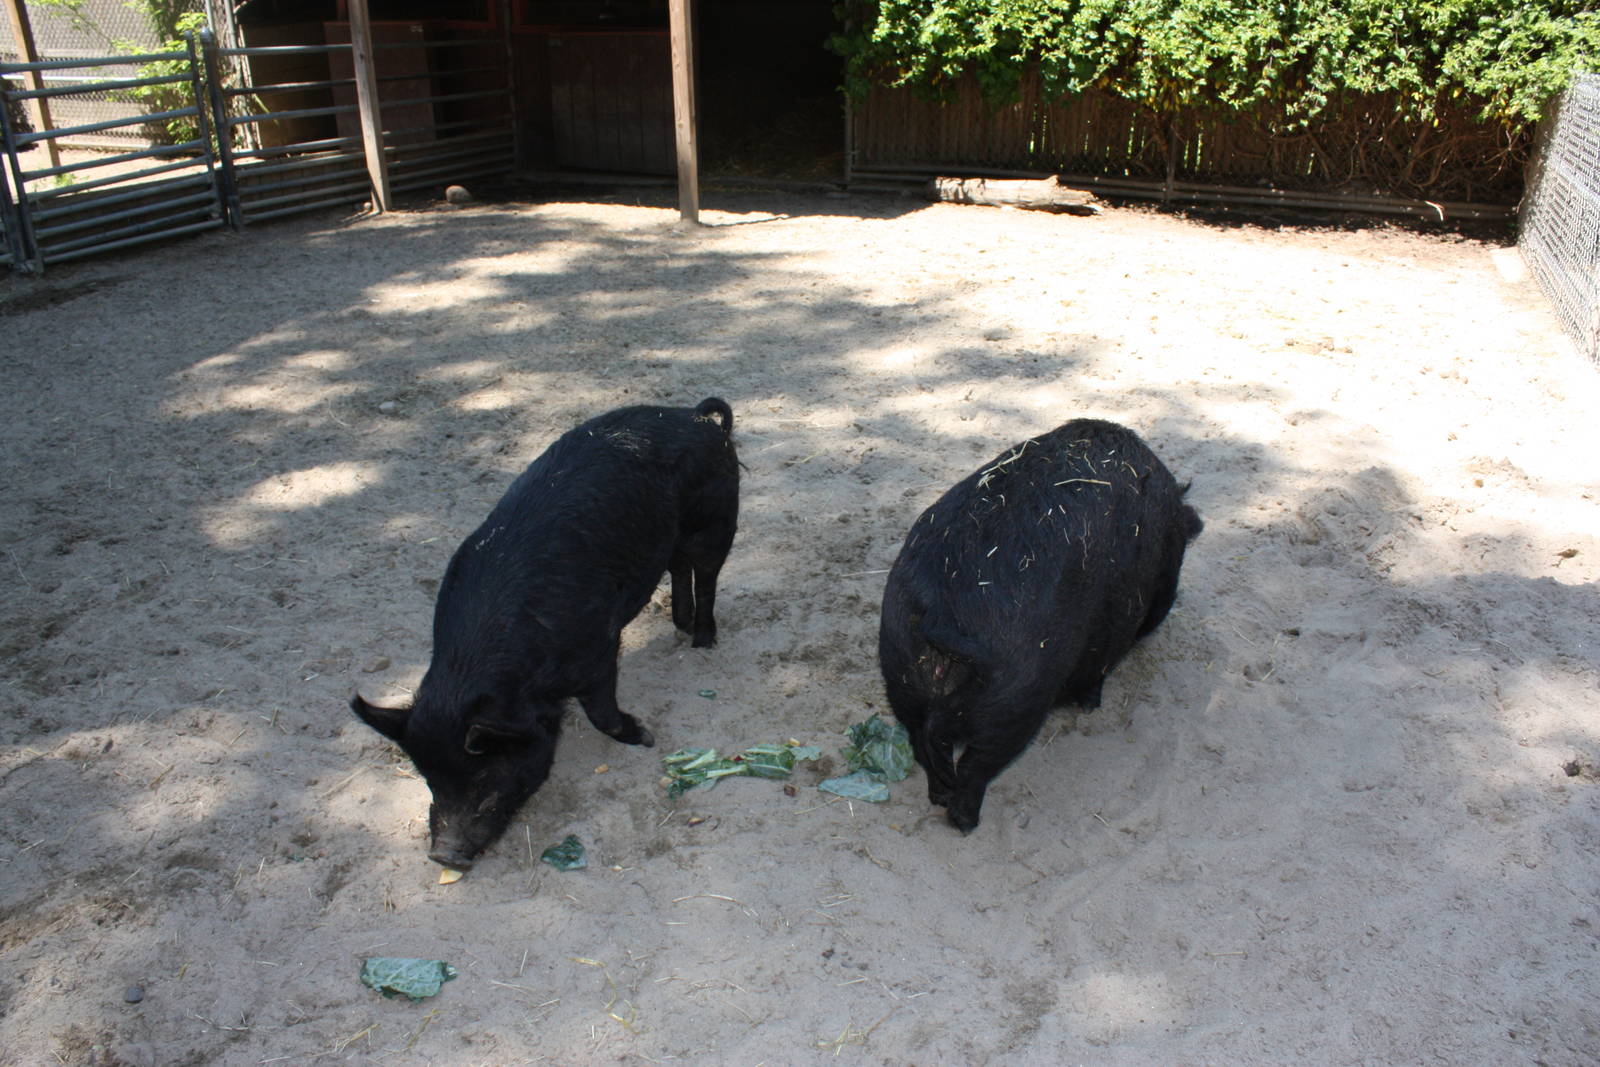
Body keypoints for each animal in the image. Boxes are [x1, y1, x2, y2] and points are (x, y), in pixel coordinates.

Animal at [350, 397, 739, 869]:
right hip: (673, 536)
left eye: (486, 778)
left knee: (707, 572)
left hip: (717, 517)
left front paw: (644, 737)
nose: (444, 856)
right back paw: (680, 626)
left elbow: (602, 712)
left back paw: (702, 641)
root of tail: (694, 414)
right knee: (679, 565)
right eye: (429, 779)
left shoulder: (598, 646)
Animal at [878, 418, 1201, 833]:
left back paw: (940, 799)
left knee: (926, 748)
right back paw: (967, 823)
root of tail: (938, 613)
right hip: (1014, 703)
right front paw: (1091, 705)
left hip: (901, 677)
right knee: (973, 769)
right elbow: (1099, 670)